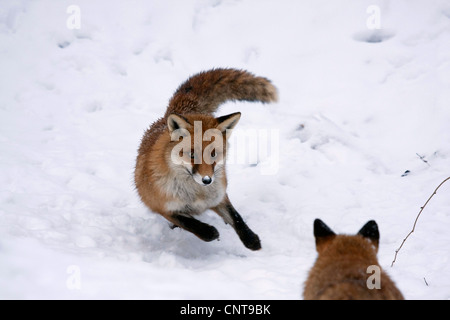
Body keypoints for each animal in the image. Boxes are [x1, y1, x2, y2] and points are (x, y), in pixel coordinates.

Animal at [135, 69, 278, 251]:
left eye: (213, 154)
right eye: (192, 154)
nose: (207, 180)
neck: (197, 195)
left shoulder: (220, 197)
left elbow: (236, 217)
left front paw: (250, 239)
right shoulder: (163, 207)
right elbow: (190, 223)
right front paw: (210, 232)